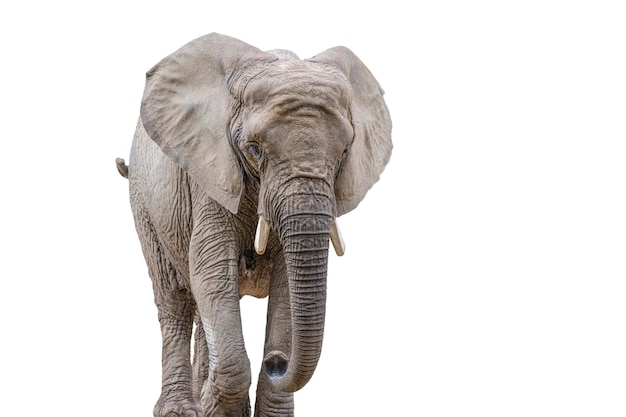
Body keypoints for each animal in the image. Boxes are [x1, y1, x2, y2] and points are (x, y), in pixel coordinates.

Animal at [116, 32, 390, 416]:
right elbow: (211, 267)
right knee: (175, 298)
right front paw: (217, 404)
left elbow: (284, 282)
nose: (277, 361)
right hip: (144, 201)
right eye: (254, 149)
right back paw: (183, 408)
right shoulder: (210, 174)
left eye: (344, 152)